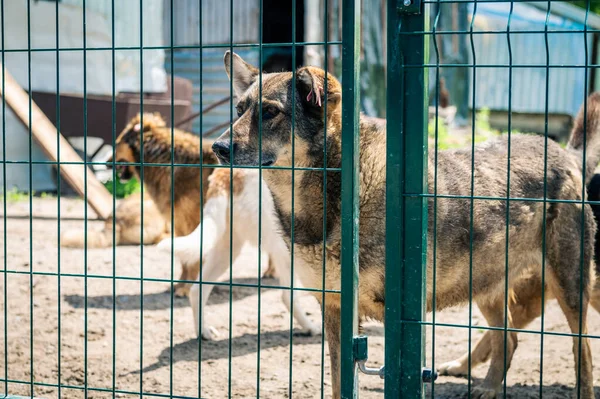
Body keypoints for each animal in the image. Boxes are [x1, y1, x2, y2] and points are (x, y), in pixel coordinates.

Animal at [213, 51, 596, 398]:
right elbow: (338, 385)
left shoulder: (404, 320)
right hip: (488, 286)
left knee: (583, 351)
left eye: (270, 112)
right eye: (239, 110)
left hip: (570, 288)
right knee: (510, 338)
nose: (218, 147)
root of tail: (565, 152)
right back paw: (487, 389)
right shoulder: (337, 312)